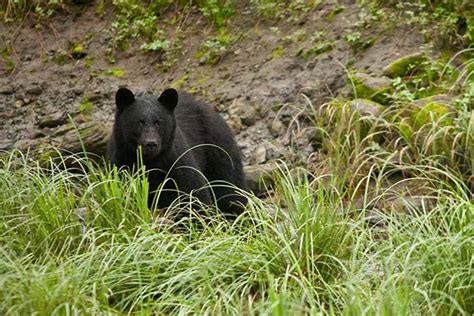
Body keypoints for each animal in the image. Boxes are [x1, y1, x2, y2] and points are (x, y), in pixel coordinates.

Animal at [108, 87, 248, 216]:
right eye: (139, 122)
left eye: (158, 122)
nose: (151, 144)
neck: (151, 163)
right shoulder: (121, 164)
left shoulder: (176, 163)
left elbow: (195, 195)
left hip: (219, 151)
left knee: (229, 189)